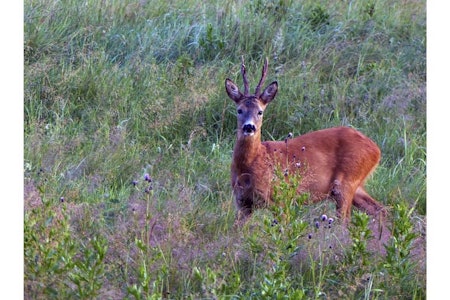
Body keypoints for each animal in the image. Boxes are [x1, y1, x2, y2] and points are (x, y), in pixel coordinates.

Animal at [225, 58, 384, 223]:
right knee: (379, 209)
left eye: (260, 112)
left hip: (346, 182)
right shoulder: (242, 203)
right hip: (355, 186)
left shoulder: (281, 198)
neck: (250, 165)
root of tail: (376, 150)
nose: (249, 127)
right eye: (239, 110)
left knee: (345, 221)